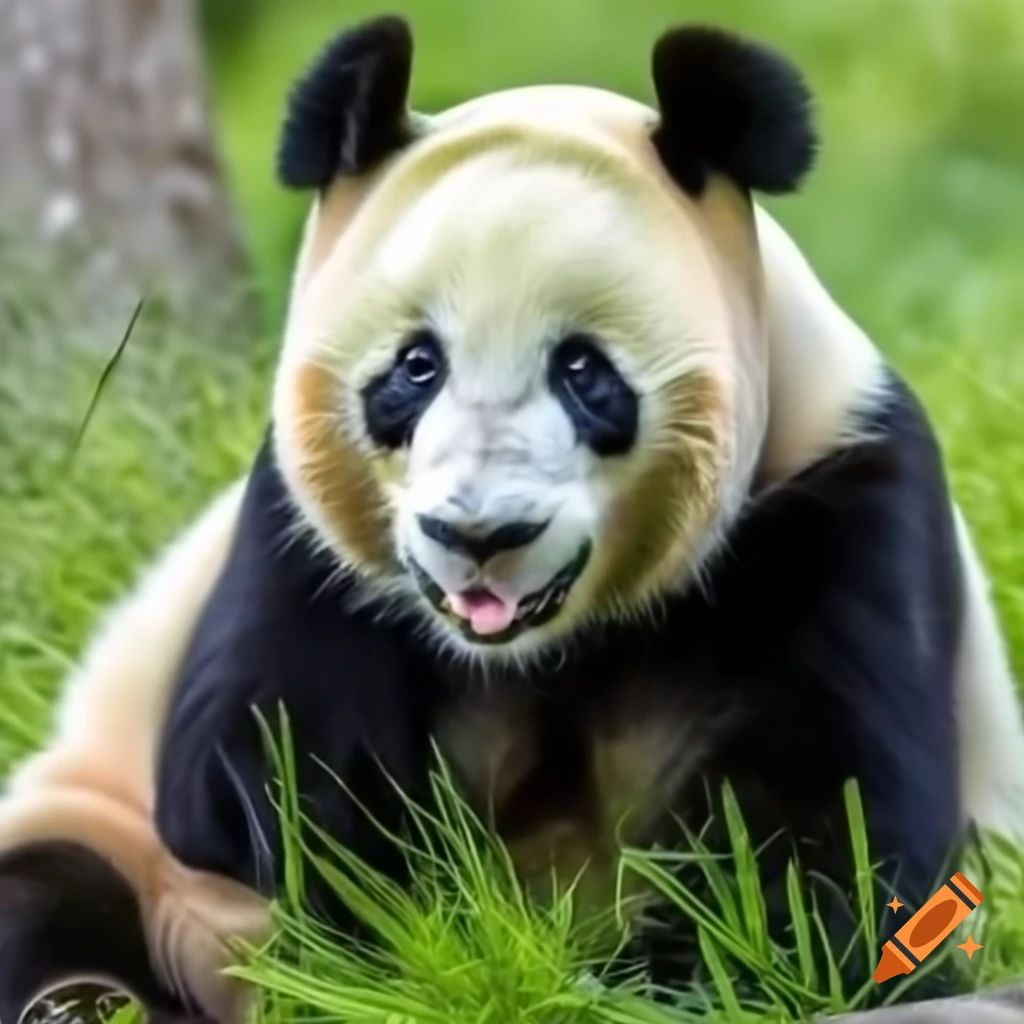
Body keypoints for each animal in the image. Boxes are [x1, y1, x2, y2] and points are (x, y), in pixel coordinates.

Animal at [2, 14, 1024, 1024]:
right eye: (416, 366)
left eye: (584, 371)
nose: (479, 537)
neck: (542, 650)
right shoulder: (297, 534)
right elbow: (252, 775)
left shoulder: (834, 494)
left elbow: (831, 835)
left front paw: (641, 977)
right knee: (54, 896)